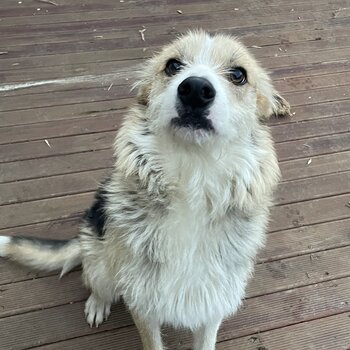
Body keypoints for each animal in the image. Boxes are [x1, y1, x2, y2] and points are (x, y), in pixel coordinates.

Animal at [0, 30, 290, 350]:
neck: (193, 175)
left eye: (238, 75)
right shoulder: (143, 301)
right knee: (97, 283)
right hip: (101, 262)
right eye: (173, 66)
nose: (195, 89)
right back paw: (97, 303)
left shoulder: (212, 302)